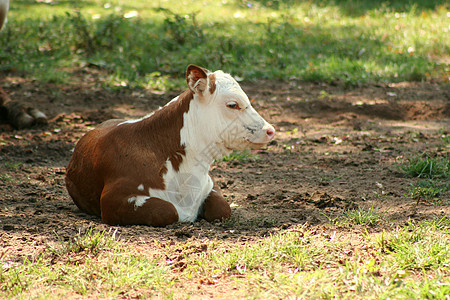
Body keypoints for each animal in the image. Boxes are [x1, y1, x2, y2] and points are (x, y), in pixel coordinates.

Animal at [63, 65, 274, 225]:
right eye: (232, 104)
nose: (270, 130)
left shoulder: (209, 183)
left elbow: (223, 209)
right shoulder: (113, 199)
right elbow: (168, 210)